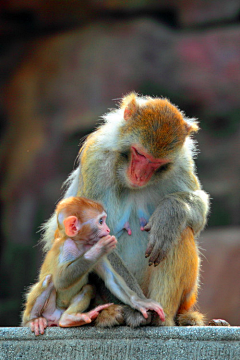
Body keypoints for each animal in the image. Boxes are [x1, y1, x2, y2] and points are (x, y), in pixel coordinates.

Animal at [22, 197, 164, 334]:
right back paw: (34, 320)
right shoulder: (66, 248)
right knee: (48, 281)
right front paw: (100, 247)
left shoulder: (99, 259)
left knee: (88, 288)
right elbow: (60, 281)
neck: (79, 244)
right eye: (101, 221)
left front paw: (141, 303)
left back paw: (69, 319)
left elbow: (111, 279)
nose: (107, 229)